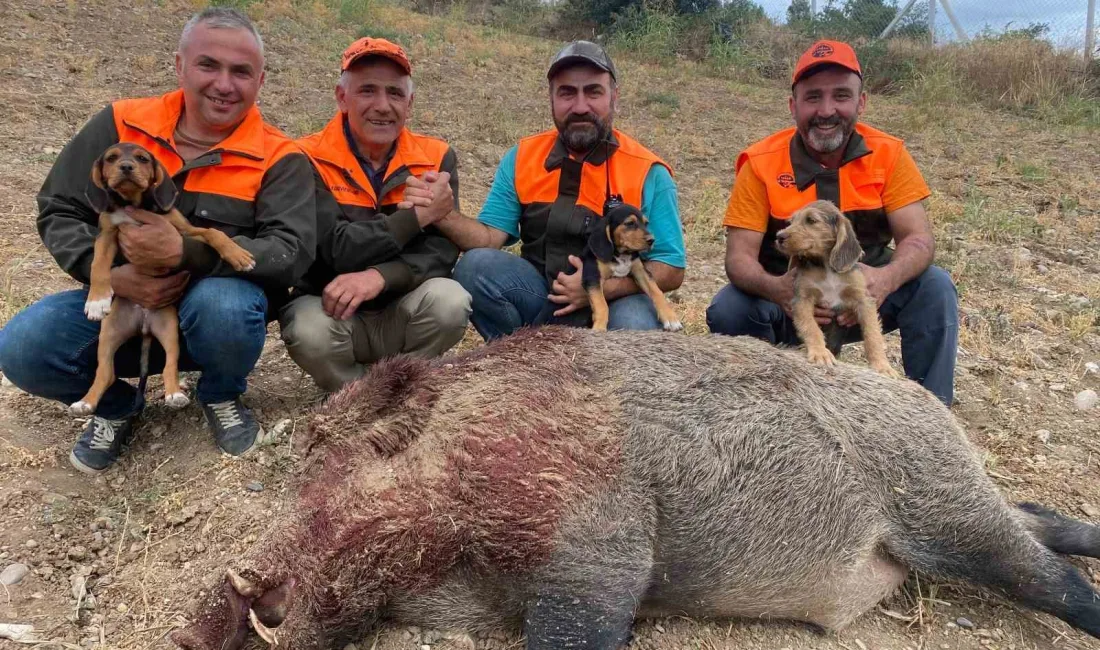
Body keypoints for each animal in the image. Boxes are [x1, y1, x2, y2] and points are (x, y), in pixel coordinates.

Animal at [70, 142, 255, 417]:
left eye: (142, 158)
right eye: (111, 158)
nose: (126, 167)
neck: (135, 204)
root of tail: (144, 324)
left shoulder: (184, 231)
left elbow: (214, 232)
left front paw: (238, 255)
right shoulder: (108, 235)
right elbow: (98, 264)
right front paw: (97, 300)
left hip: (169, 329)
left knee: (170, 365)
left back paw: (174, 394)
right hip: (109, 333)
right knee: (106, 373)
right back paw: (85, 402)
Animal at [585, 202, 677, 336]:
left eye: (646, 223)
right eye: (630, 223)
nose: (652, 240)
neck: (622, 255)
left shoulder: (640, 271)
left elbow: (656, 291)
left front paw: (670, 317)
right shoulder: (592, 277)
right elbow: (601, 304)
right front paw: (599, 327)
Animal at [778, 201, 897, 378]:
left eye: (811, 220)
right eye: (791, 221)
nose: (779, 237)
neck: (826, 266)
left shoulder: (864, 300)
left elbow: (873, 335)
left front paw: (882, 366)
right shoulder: (802, 299)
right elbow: (811, 327)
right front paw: (820, 352)